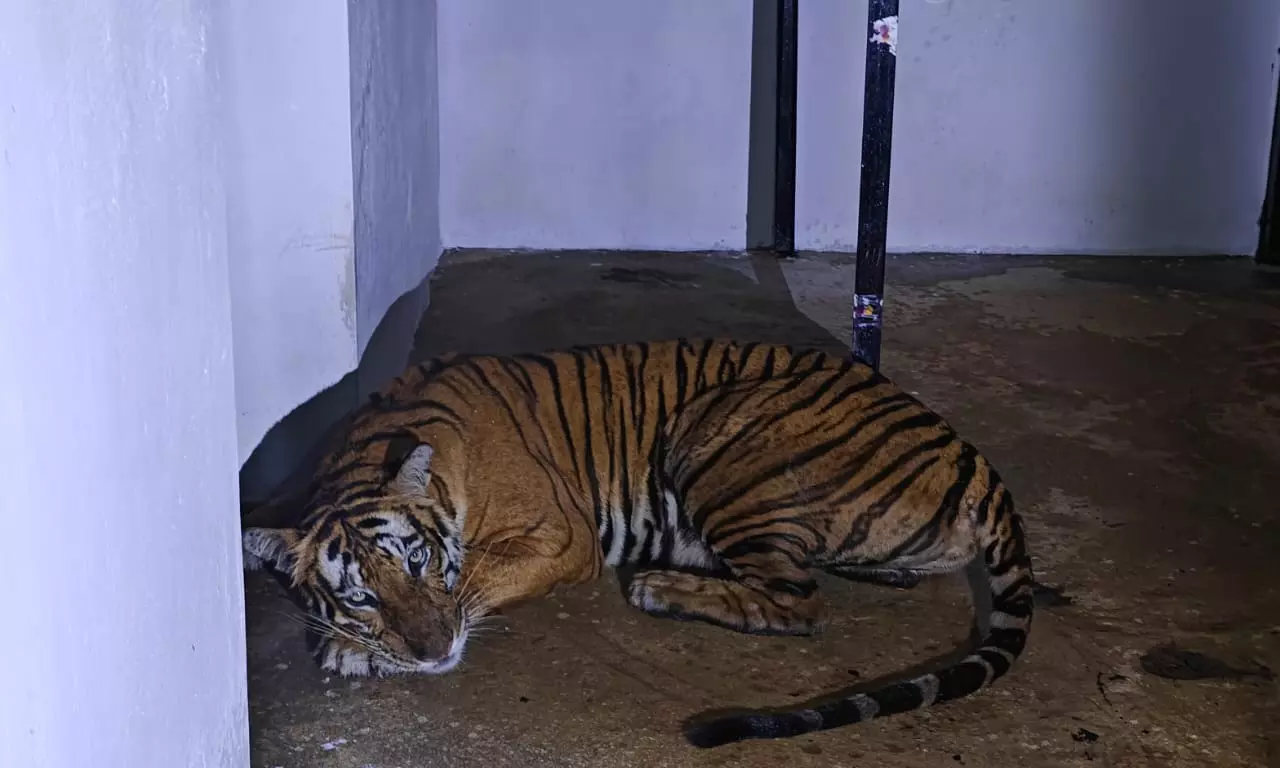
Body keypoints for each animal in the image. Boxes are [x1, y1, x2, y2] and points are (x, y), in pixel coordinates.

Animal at [242, 339, 1033, 747]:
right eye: (361, 596)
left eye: (418, 560)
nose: (435, 653)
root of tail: (969, 454)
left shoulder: (560, 539)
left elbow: (473, 584)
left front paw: (352, 652)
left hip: (717, 433)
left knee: (799, 602)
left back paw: (662, 585)